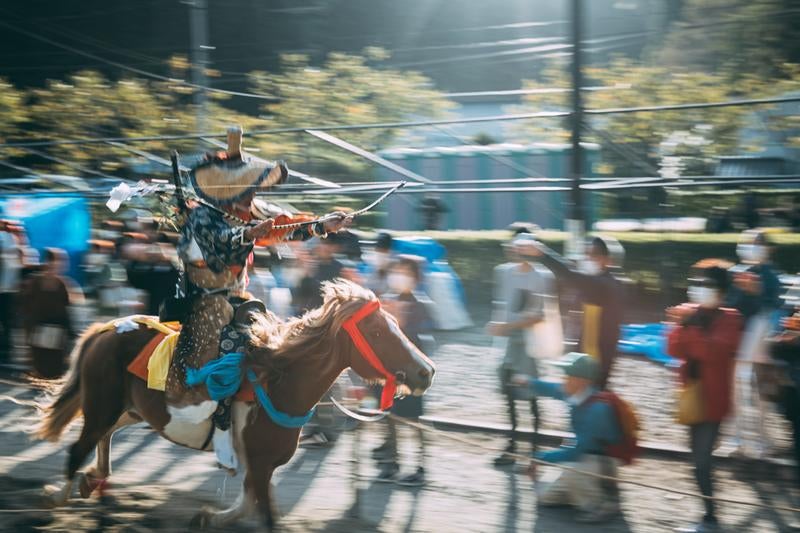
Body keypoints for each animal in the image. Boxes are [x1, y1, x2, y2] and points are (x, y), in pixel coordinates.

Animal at [32, 278, 432, 528]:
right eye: (377, 331)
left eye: (395, 323)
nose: (425, 372)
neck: (279, 379)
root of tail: (104, 329)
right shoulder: (259, 462)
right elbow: (263, 515)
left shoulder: (259, 465)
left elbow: (246, 504)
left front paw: (207, 516)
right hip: (102, 407)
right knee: (79, 448)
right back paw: (57, 496)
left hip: (128, 411)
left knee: (103, 441)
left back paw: (92, 481)